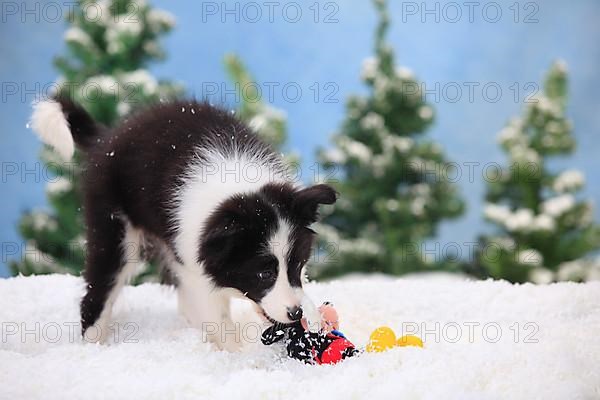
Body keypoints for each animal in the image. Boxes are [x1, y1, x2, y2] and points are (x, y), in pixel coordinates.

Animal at [30, 97, 338, 350]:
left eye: (298, 265)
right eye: (264, 273)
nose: (295, 314)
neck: (236, 187)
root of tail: (107, 138)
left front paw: (312, 318)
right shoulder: (194, 262)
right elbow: (218, 318)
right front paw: (239, 359)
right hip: (113, 227)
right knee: (99, 290)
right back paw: (93, 347)